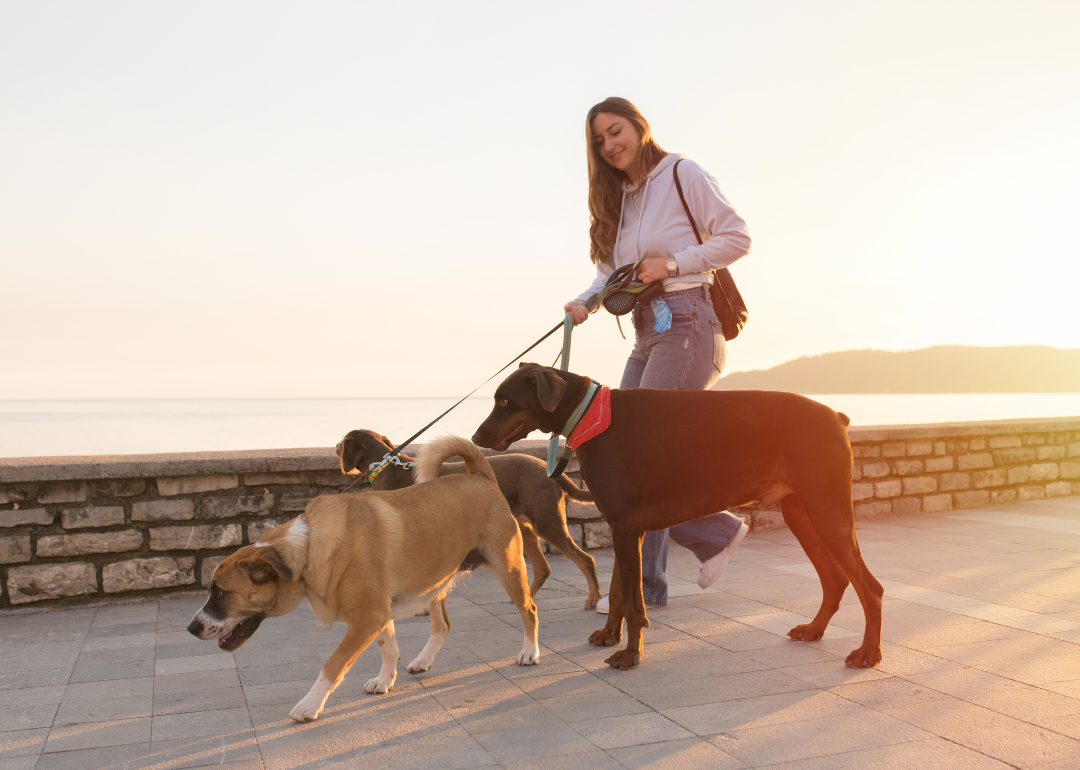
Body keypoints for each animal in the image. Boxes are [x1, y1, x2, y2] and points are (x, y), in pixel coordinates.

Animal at [189, 438, 540, 721]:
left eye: (220, 593)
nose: (191, 628)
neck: (310, 545)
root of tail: (481, 475)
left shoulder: (367, 618)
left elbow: (332, 665)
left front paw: (309, 706)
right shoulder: (377, 614)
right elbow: (388, 647)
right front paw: (386, 679)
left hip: (508, 568)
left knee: (529, 610)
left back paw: (530, 652)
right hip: (435, 580)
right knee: (442, 625)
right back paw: (423, 660)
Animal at [336, 425, 604, 604]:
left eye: (340, 444)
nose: (335, 447)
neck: (386, 469)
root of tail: (550, 471)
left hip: (547, 522)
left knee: (585, 560)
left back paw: (593, 598)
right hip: (522, 527)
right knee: (543, 568)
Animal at [477, 362, 881, 669]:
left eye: (504, 400)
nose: (477, 437)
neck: (592, 417)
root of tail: (837, 416)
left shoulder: (626, 526)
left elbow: (635, 603)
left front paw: (630, 655)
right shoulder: (624, 526)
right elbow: (620, 591)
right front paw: (610, 635)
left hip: (827, 510)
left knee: (870, 587)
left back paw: (867, 653)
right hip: (801, 513)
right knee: (835, 581)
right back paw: (814, 630)